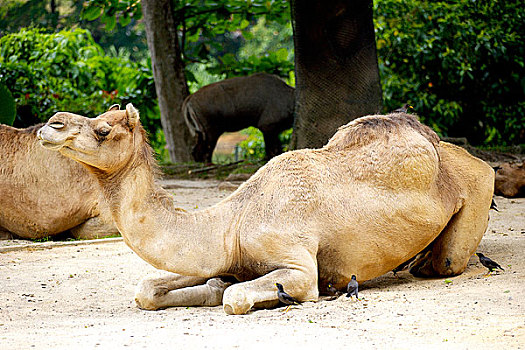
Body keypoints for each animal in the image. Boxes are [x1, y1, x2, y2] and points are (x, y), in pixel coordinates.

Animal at [39, 104, 494, 314]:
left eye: (103, 129)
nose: (51, 123)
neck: (233, 223)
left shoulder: (298, 266)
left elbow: (235, 297)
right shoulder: (220, 257)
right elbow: (150, 289)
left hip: (476, 185)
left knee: (451, 259)